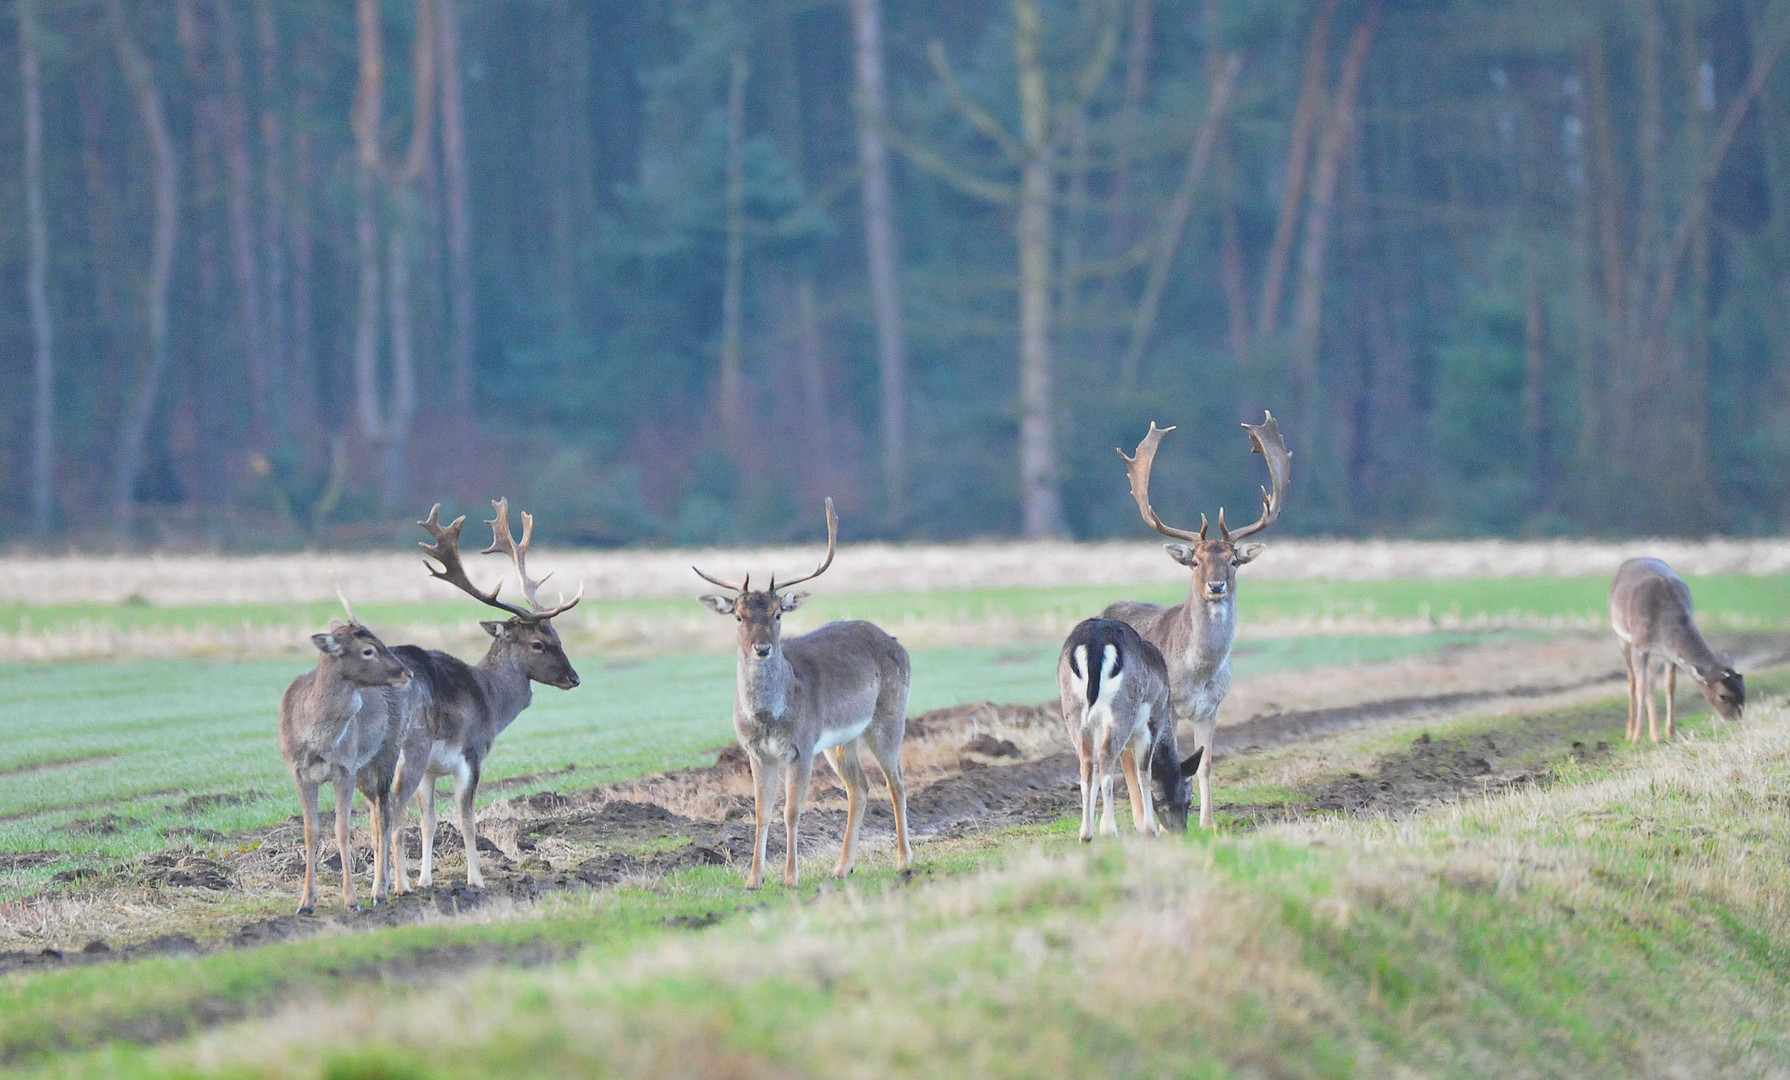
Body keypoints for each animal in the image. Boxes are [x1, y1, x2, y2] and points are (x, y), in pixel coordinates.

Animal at [388, 501, 583, 891]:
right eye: (538, 643)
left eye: (557, 636)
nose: (575, 678)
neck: (491, 698)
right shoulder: (472, 752)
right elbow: (466, 819)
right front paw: (475, 880)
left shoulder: (432, 770)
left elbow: (430, 822)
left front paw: (426, 880)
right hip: (413, 745)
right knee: (394, 810)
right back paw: (398, 887)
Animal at [694, 497, 916, 888]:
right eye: (738, 615)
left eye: (778, 613)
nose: (762, 648)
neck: (769, 717)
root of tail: (895, 641)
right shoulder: (757, 752)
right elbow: (761, 812)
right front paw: (753, 879)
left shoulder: (802, 746)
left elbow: (792, 811)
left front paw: (790, 877)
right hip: (842, 740)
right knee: (859, 788)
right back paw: (843, 866)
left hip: (888, 717)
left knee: (897, 782)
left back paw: (904, 860)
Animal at [1052, 619, 1195, 841]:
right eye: (1190, 798)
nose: (1180, 831)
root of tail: (1095, 644)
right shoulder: (1151, 721)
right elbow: (1144, 770)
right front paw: (1149, 828)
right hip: (1121, 709)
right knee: (1105, 757)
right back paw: (1111, 830)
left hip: (1073, 710)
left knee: (1087, 762)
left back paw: (1085, 834)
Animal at [1611, 558, 1747, 745]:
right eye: (1723, 695)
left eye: (1744, 692)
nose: (1735, 720)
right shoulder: (1640, 647)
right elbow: (1640, 686)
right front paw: (1637, 737)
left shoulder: (1668, 655)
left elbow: (1670, 685)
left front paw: (1670, 732)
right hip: (1621, 638)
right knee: (1632, 679)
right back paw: (1630, 732)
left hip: (1655, 657)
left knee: (1651, 684)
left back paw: (1655, 734)